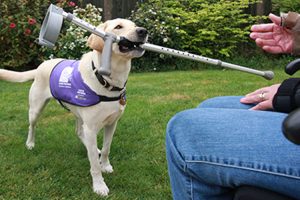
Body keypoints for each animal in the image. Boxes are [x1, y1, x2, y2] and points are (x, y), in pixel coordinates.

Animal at [0, 19, 148, 197]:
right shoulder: (91, 127)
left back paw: (94, 148)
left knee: (79, 132)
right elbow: (94, 164)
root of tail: (41, 65)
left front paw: (105, 165)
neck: (107, 80)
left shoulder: (112, 123)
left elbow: (106, 148)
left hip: (78, 114)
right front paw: (99, 186)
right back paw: (30, 143)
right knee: (32, 126)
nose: (143, 31)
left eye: (134, 25)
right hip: (36, 109)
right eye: (118, 27)